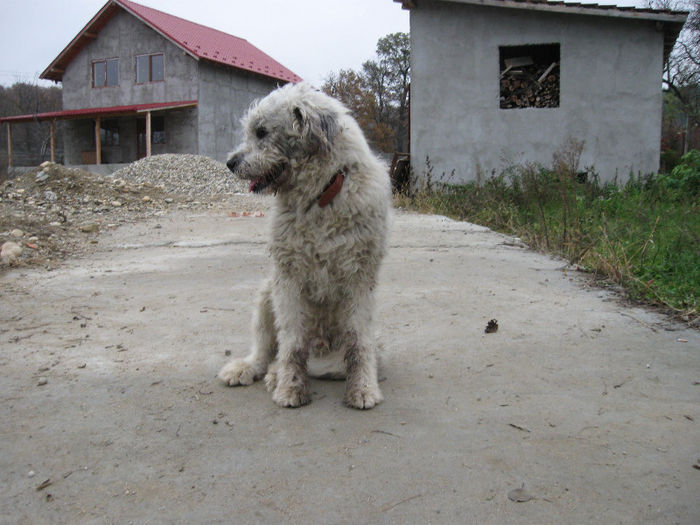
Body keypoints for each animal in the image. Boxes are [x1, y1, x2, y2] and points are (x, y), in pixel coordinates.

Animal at [217, 83, 392, 410]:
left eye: (261, 132)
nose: (230, 163)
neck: (321, 196)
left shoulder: (360, 278)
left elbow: (359, 342)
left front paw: (363, 388)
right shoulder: (288, 278)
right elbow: (292, 343)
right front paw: (290, 387)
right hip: (266, 294)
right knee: (265, 348)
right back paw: (255, 369)